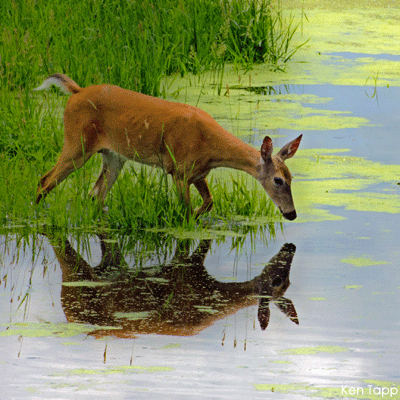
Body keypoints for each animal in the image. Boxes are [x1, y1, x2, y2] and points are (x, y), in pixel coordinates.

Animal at [34, 73, 302, 220]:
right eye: (278, 180)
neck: (211, 147)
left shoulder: (198, 173)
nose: (291, 214)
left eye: (292, 178)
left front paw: (198, 216)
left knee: (95, 195)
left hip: (113, 156)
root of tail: (76, 92)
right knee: (45, 180)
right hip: (76, 143)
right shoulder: (179, 172)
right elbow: (185, 212)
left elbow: (209, 202)